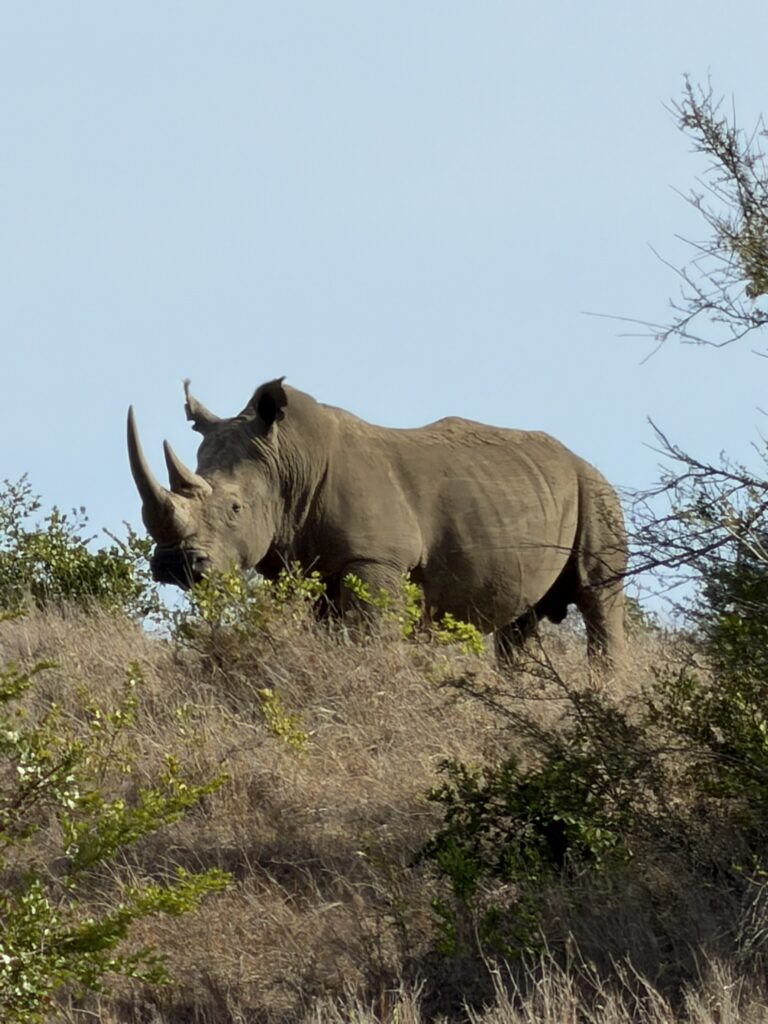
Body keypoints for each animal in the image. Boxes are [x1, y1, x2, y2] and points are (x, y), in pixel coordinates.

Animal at [127, 378, 627, 664]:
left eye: (235, 508)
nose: (174, 565)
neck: (288, 462)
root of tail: (578, 459)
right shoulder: (312, 565)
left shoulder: (375, 558)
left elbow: (372, 637)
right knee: (518, 621)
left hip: (596, 490)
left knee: (599, 597)